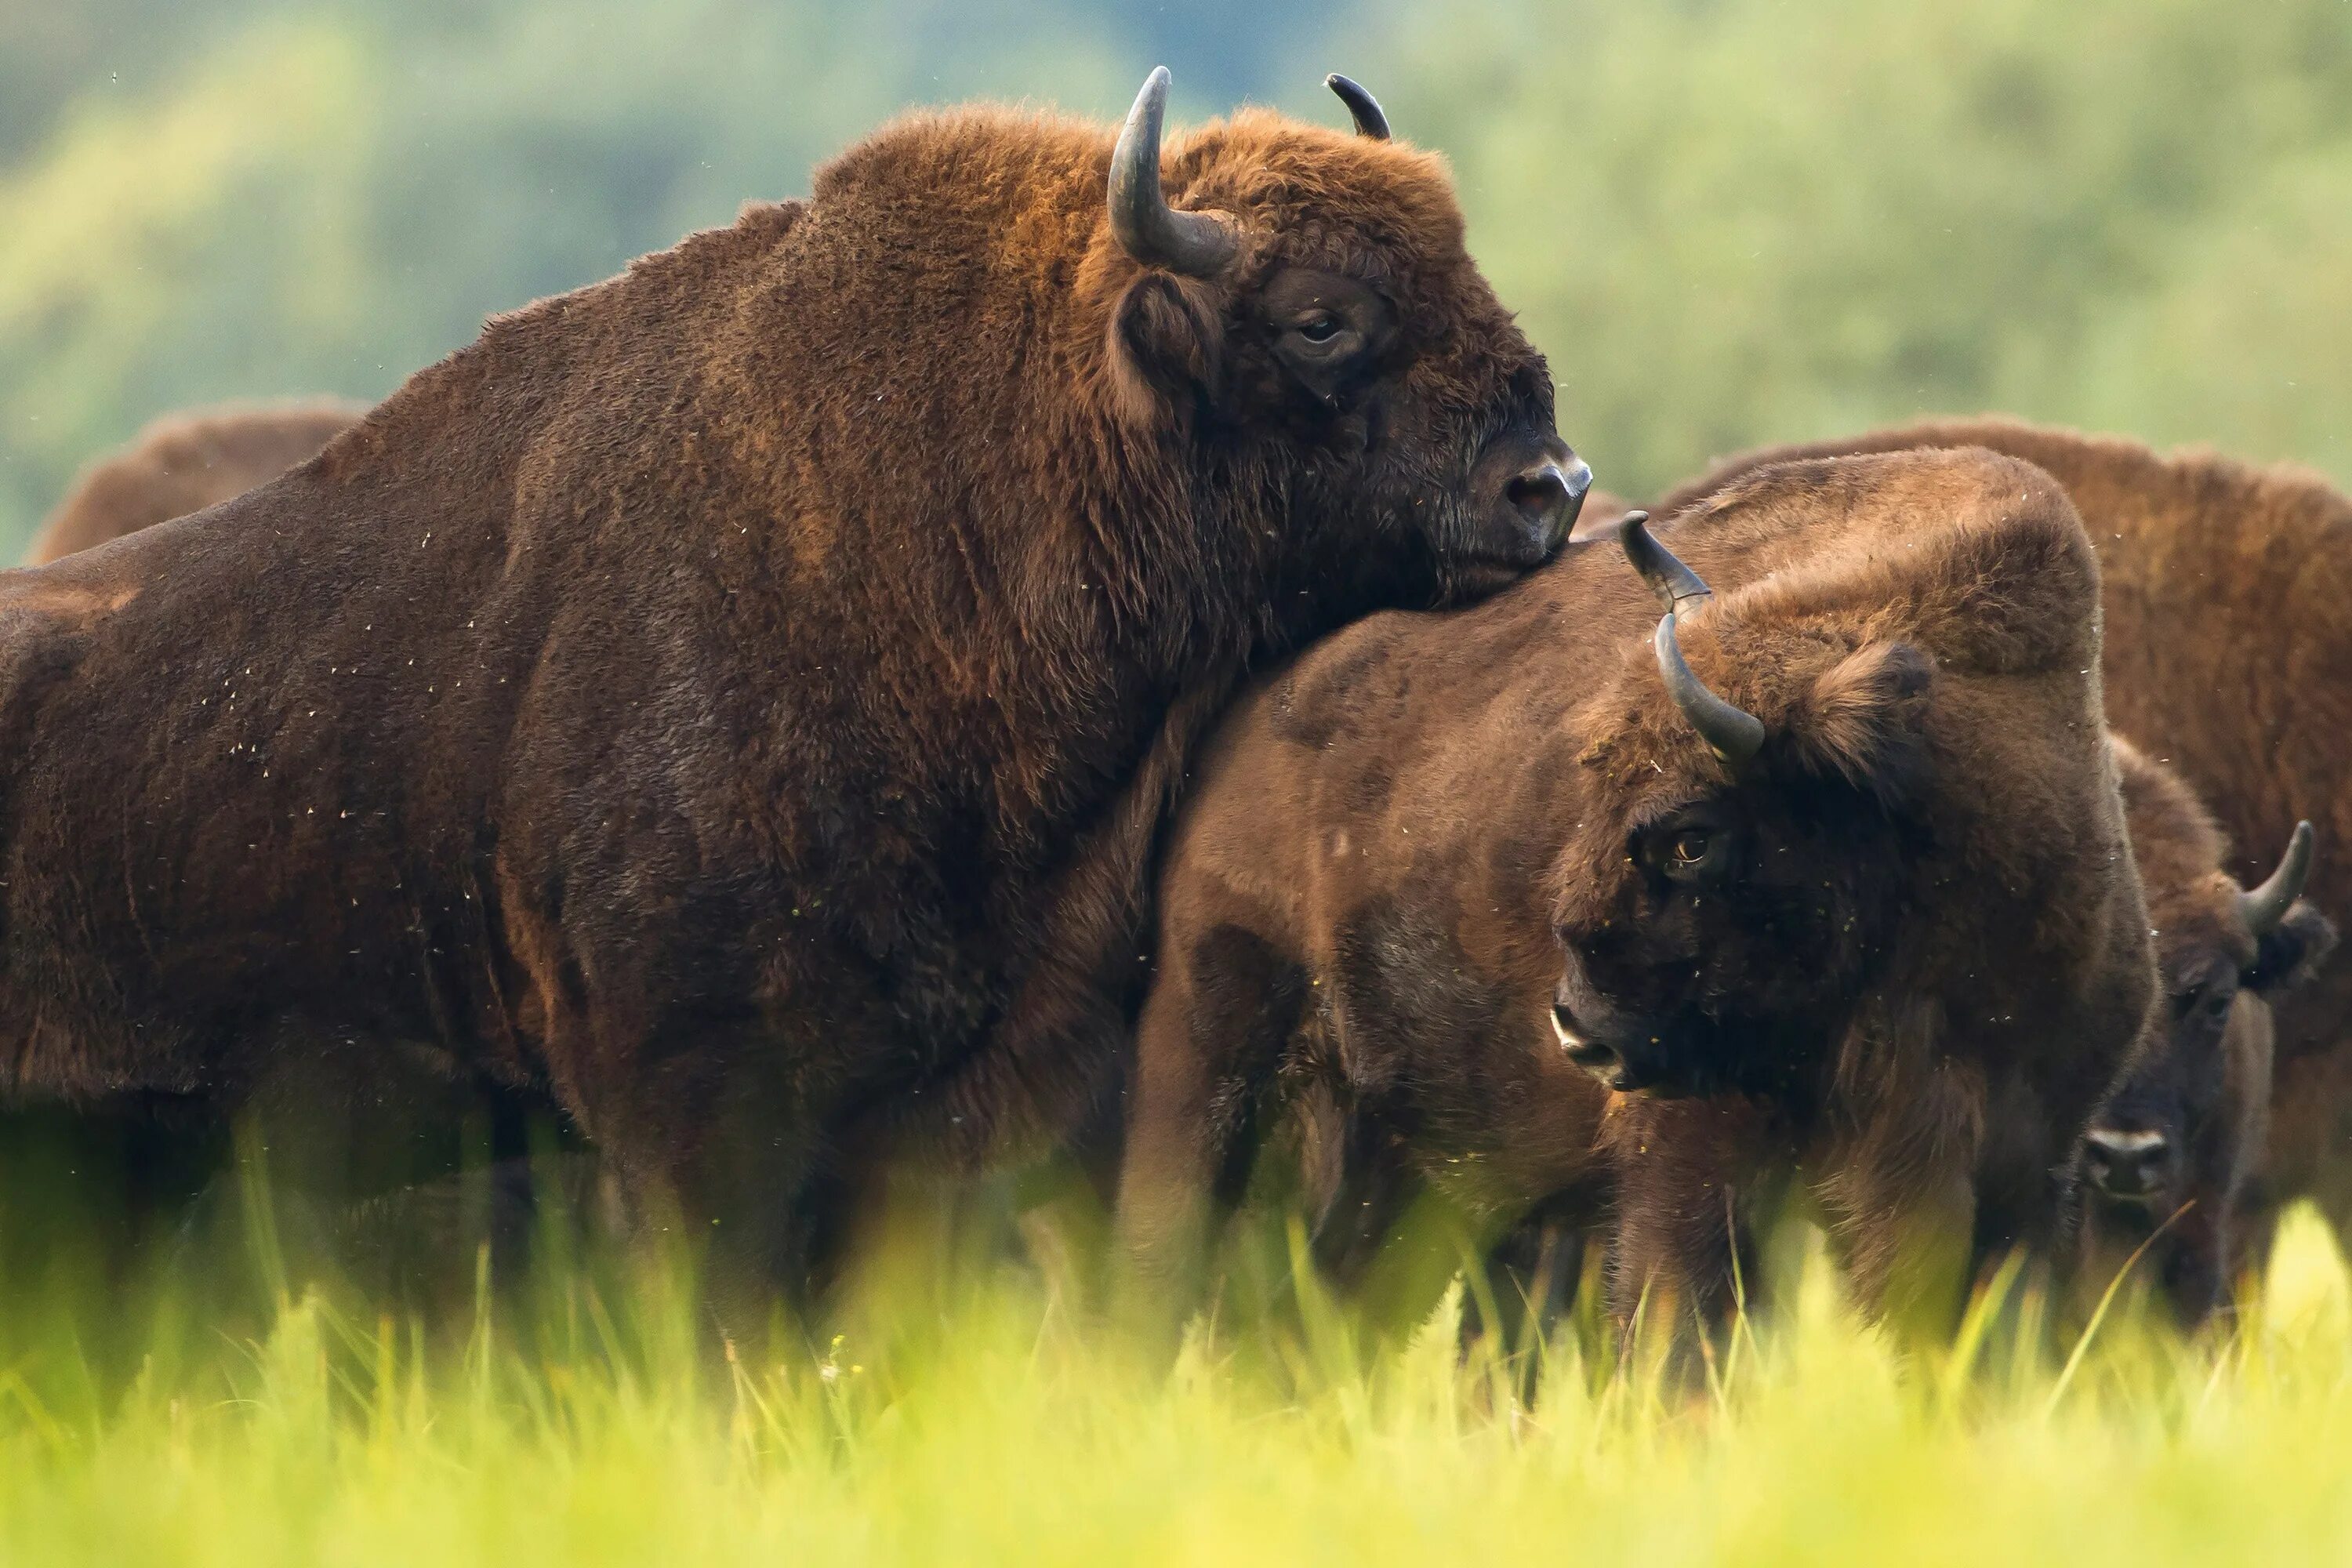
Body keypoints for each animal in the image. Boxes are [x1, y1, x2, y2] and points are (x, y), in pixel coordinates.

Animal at [1110, 446, 2154, 1345]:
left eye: (1693, 835)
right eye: (1593, 790)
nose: (1580, 1032)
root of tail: (1252, 709)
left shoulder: (2022, 1170)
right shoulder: (1694, 1162)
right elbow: (1681, 1331)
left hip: (1408, 1149)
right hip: (1213, 1057)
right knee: (1167, 1256)